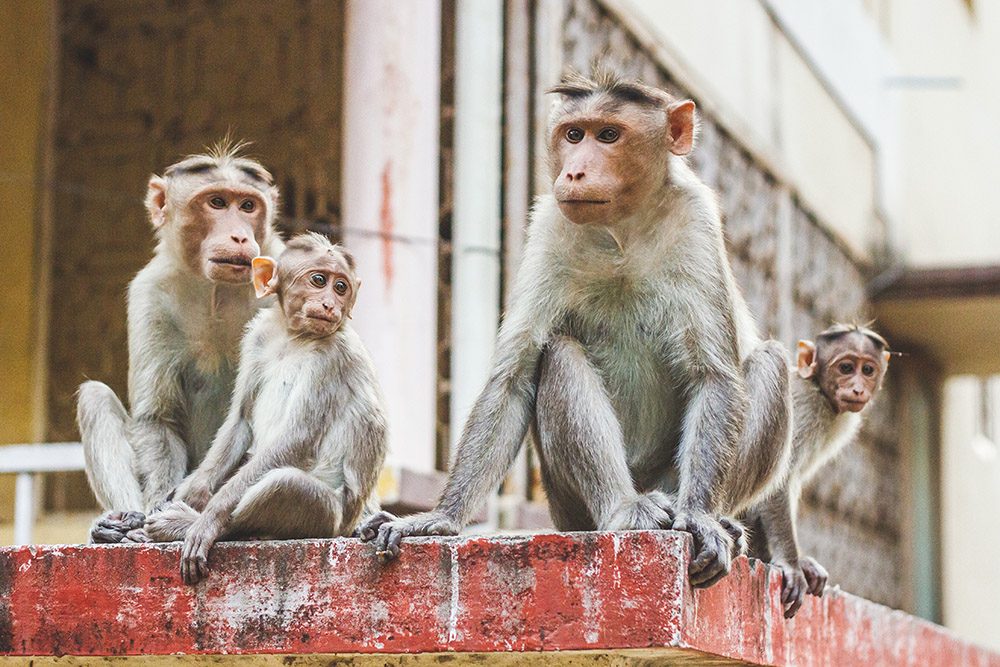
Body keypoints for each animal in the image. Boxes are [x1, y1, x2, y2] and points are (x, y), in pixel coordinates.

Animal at [75, 140, 282, 544]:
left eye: (247, 206)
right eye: (217, 202)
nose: (239, 236)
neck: (216, 291)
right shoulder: (149, 293)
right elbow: (158, 417)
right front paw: (158, 505)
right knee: (94, 397)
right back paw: (121, 525)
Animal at [146, 234, 388, 584]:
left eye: (341, 287)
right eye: (319, 281)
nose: (331, 304)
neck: (294, 337)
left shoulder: (334, 356)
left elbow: (296, 438)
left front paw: (207, 519)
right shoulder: (257, 337)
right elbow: (241, 419)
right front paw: (193, 491)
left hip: (332, 518)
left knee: (285, 485)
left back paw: (188, 525)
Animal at [360, 66, 788, 588]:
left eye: (608, 135)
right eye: (573, 134)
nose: (574, 172)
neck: (622, 232)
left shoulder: (696, 221)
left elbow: (715, 378)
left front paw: (703, 518)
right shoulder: (549, 227)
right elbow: (513, 379)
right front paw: (439, 518)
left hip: (669, 476)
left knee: (769, 362)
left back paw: (720, 517)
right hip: (567, 505)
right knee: (560, 353)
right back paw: (625, 508)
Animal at [744, 320, 892, 620]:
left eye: (867, 370)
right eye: (845, 367)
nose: (858, 388)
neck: (818, 389)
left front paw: (803, 563)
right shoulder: (805, 407)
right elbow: (780, 480)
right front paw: (793, 563)